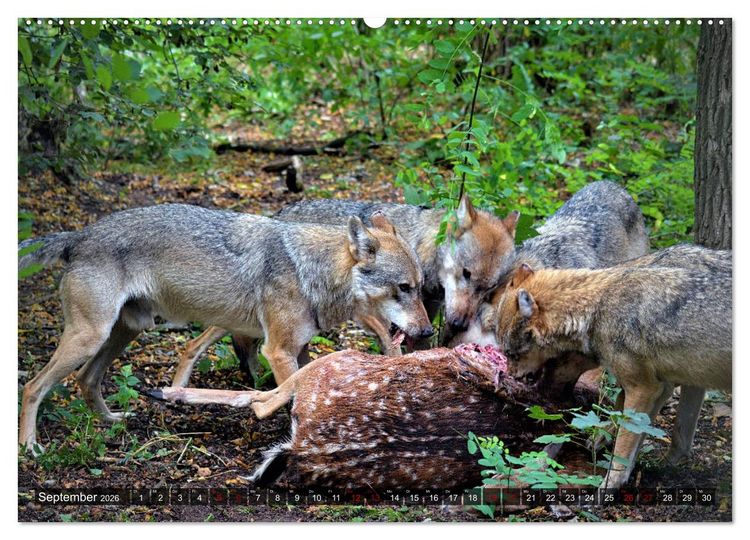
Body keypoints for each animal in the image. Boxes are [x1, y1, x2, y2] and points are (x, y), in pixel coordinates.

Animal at [18, 204, 432, 452]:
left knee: (86, 379)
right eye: (404, 288)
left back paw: (112, 422)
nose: (429, 333)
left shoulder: (299, 351)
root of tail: (79, 235)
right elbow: (291, 394)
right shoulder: (277, 351)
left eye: (420, 286)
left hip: (124, 332)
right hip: (91, 337)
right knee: (33, 386)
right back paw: (29, 447)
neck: (312, 271)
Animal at [173, 195, 520, 387]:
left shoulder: (420, 321)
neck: (422, 248)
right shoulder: (380, 320)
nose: (459, 324)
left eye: (489, 288)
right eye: (465, 274)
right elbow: (394, 351)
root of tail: (281, 213)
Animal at [494, 244, 732, 488]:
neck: (596, 308)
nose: (510, 376)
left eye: (511, 354)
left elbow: (624, 440)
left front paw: (610, 482)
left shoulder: (645, 388)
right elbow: (664, 435)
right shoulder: (672, 383)